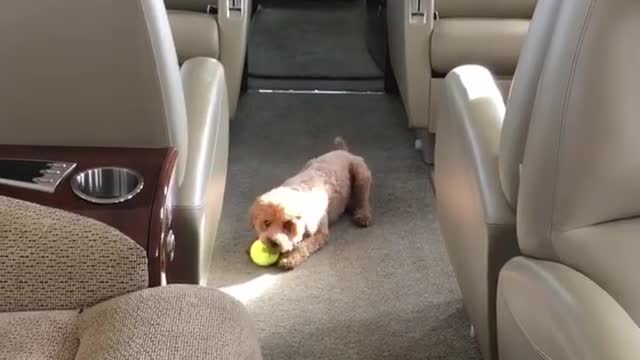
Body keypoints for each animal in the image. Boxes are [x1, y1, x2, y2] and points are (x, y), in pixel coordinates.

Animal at [249, 138, 372, 270]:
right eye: (266, 222)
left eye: (288, 225)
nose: (273, 243)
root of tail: (343, 151)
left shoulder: (320, 233)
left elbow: (304, 245)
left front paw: (290, 258)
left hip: (361, 174)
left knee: (363, 200)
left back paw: (363, 215)